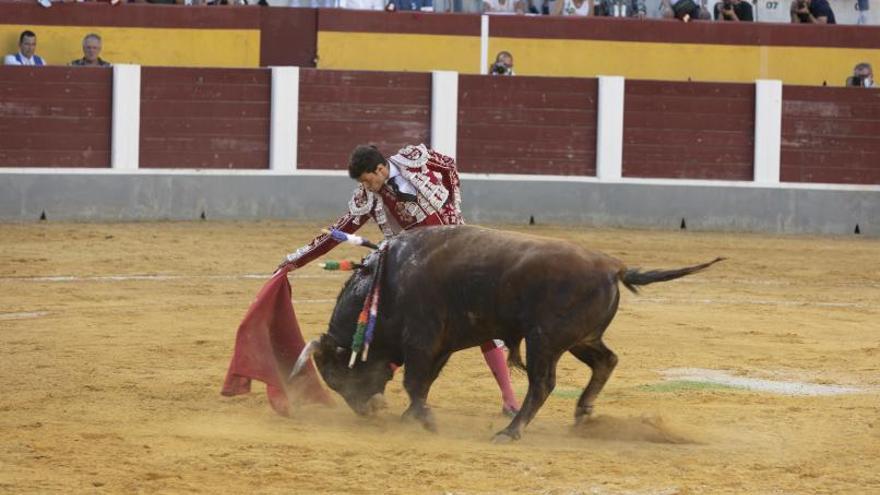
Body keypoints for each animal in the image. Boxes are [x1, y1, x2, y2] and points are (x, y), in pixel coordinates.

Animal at [288, 225, 720, 442]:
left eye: (338, 377)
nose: (367, 412)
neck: (386, 281)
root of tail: (612, 266)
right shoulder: (441, 343)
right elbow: (423, 382)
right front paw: (413, 416)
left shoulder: (422, 339)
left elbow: (414, 381)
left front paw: (424, 420)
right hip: (578, 339)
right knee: (607, 360)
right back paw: (583, 413)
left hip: (545, 339)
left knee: (543, 384)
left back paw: (511, 431)